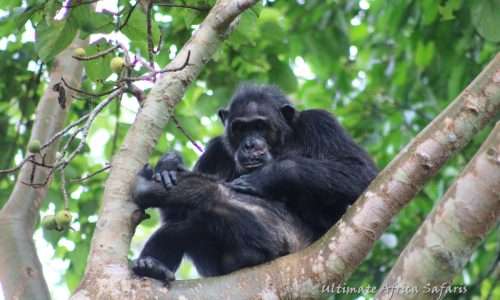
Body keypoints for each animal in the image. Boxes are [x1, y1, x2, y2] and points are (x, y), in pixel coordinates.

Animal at [131, 84, 376, 282]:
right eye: (241, 128)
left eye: (260, 125)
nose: (250, 144)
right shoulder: (216, 151)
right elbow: (174, 215)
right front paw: (168, 164)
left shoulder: (322, 123)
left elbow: (361, 172)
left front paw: (267, 176)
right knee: (184, 224)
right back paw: (152, 266)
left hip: (292, 244)